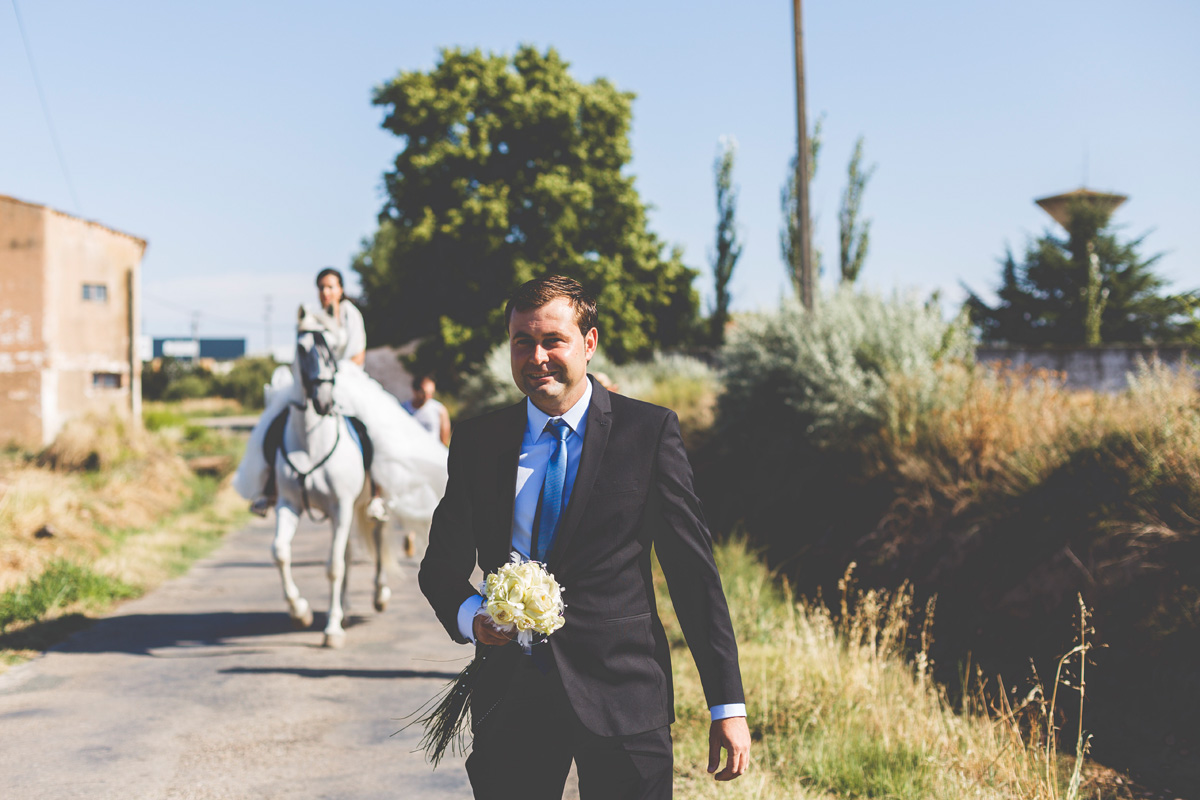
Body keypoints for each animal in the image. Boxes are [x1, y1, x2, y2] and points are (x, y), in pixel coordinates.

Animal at [270, 309, 391, 647]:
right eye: (301, 349)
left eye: (333, 350)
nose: (323, 402)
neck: (311, 443)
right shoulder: (289, 505)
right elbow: (281, 553)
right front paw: (300, 611)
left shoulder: (341, 507)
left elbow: (333, 566)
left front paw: (332, 630)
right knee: (348, 553)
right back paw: (346, 609)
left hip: (367, 505)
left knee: (378, 537)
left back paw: (379, 595)